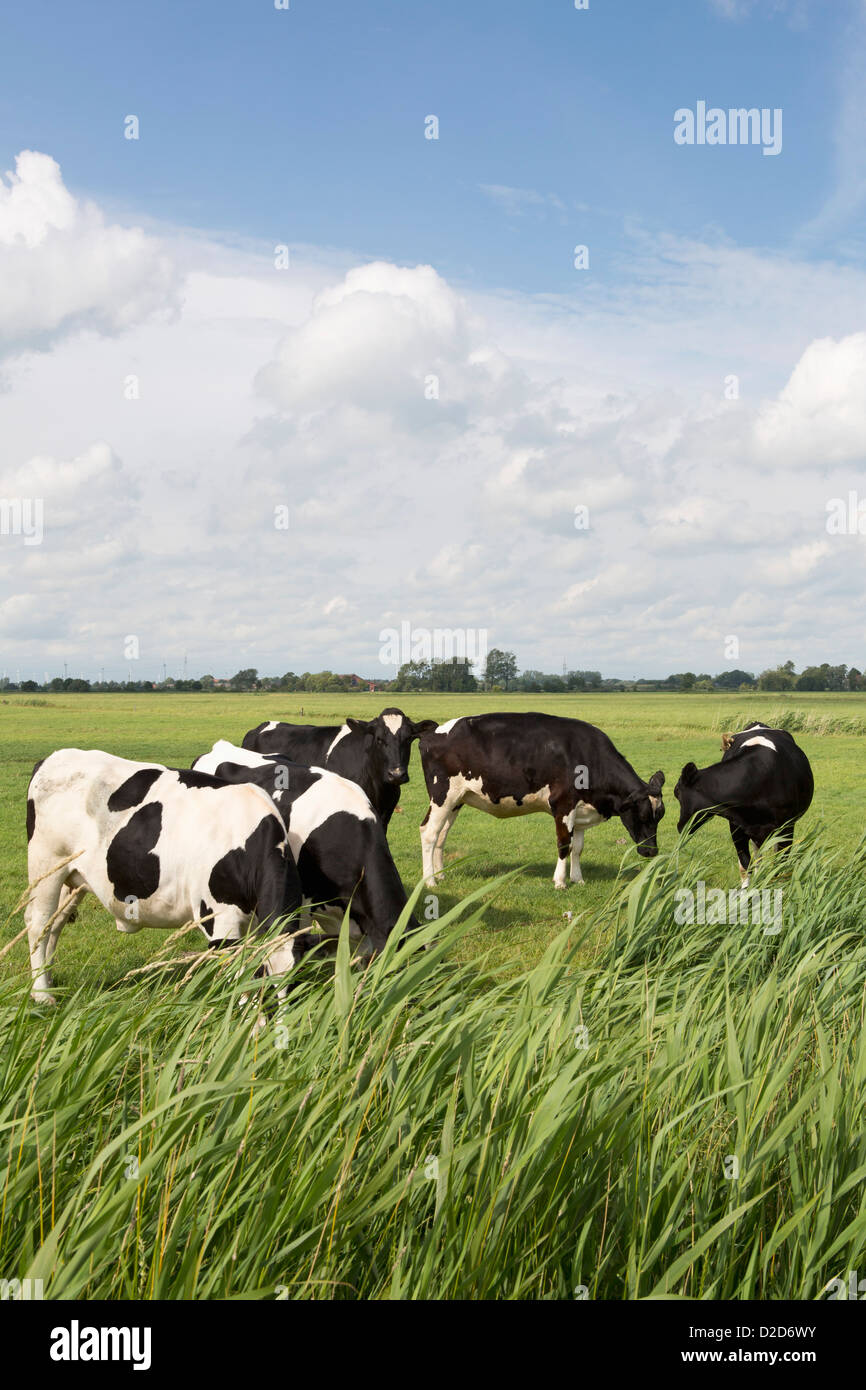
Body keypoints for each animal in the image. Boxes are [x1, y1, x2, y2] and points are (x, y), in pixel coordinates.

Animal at [23, 756, 307, 1006]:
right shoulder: (218, 920)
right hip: (46, 865)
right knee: (39, 924)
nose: (283, 1026)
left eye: (296, 983)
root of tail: (51, 758)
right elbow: (239, 977)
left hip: (72, 877)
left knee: (55, 924)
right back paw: (42, 995)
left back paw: (47, 982)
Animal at [417, 711, 667, 884]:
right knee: (429, 833)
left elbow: (578, 847)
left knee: (441, 835)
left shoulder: (582, 810)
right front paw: (560, 882)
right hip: (442, 796)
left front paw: (578, 879)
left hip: (456, 800)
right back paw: (430, 882)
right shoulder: (563, 805)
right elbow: (564, 844)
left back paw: (440, 875)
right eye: (643, 815)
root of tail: (434, 731)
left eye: (660, 816)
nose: (652, 851)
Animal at [678, 722, 811, 884]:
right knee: (758, 855)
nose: (680, 826)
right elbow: (745, 865)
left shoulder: (787, 827)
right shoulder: (736, 828)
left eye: (677, 793)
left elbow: (780, 866)